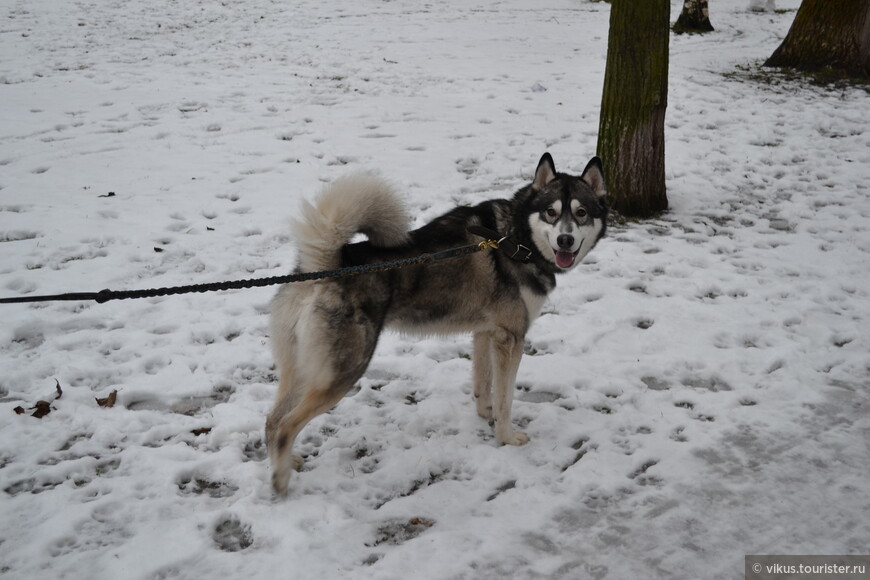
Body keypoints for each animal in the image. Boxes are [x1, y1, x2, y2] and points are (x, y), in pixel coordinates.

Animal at [270, 153, 608, 494]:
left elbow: (483, 384)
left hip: (304, 368)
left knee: (272, 419)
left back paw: (284, 461)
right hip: (343, 371)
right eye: (551, 212)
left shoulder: (485, 332)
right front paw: (507, 437)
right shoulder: (511, 338)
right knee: (286, 425)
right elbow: (506, 398)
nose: (565, 240)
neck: (515, 238)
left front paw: (484, 413)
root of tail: (325, 265)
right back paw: (280, 480)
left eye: (581, 213)